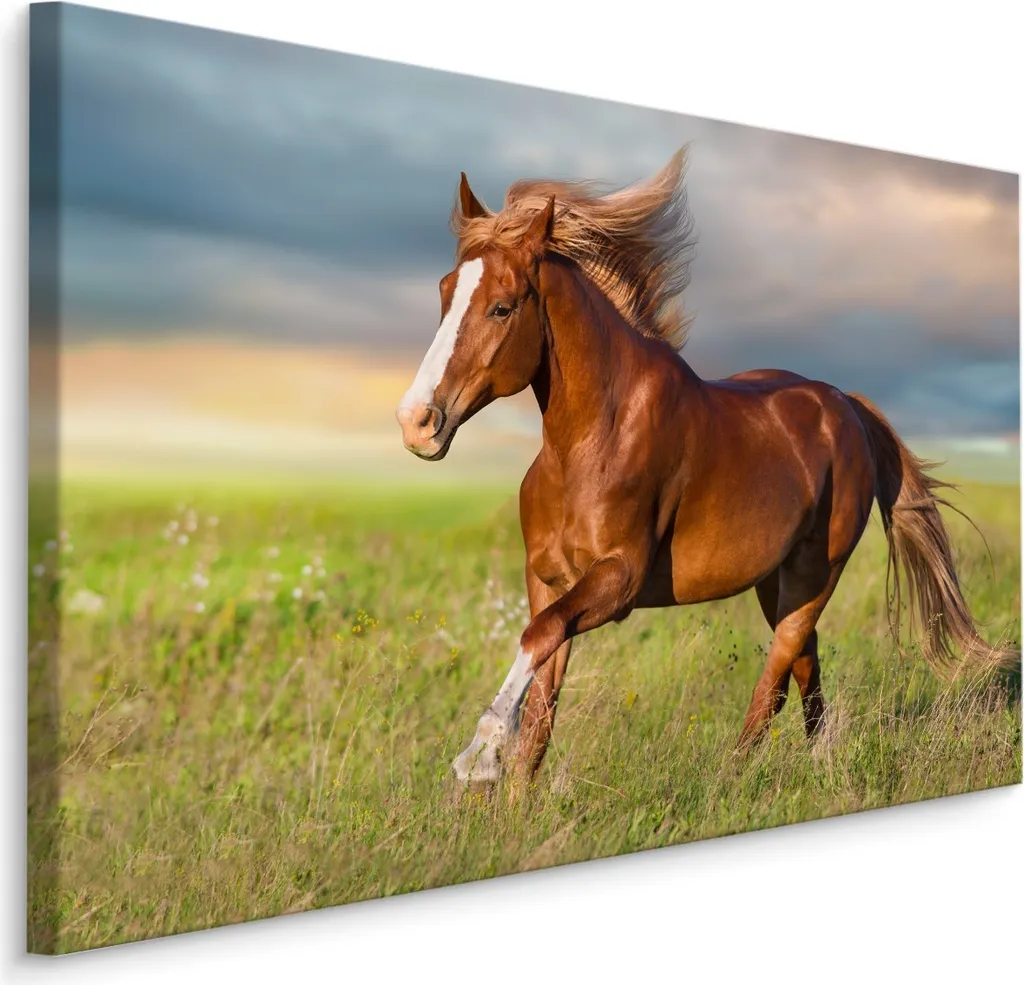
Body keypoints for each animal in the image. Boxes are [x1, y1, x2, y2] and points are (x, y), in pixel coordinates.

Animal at [395, 148, 1012, 792]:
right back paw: (822, 767)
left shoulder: (619, 579)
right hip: (775, 581)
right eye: (445, 293)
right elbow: (541, 707)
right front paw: (510, 795)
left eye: (502, 305)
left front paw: (478, 756)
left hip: (816, 573)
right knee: (805, 665)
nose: (417, 422)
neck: (588, 444)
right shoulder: (547, 581)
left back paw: (731, 778)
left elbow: (536, 645)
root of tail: (845, 404)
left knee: (778, 676)